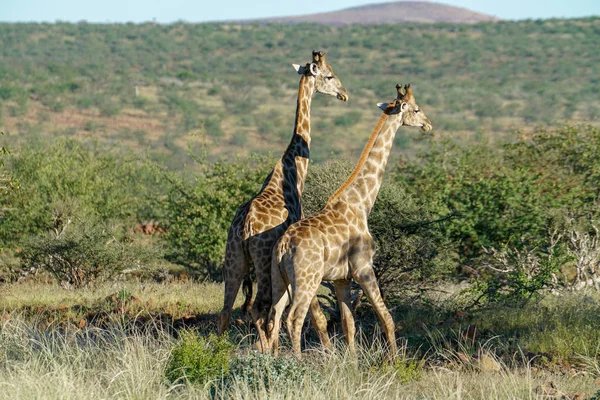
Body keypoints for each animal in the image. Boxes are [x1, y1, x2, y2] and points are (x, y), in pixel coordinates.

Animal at [219, 50, 350, 354]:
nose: (344, 94)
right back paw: (268, 353)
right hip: (262, 259)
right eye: (329, 76)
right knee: (259, 309)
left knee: (227, 310)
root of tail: (246, 226)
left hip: (234, 258)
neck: (291, 170)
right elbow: (309, 313)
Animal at [268, 82, 432, 356]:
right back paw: (297, 363)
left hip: (279, 279)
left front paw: (352, 362)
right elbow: (387, 319)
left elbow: (348, 325)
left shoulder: (341, 279)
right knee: (294, 319)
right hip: (307, 279)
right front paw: (395, 360)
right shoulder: (363, 268)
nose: (428, 124)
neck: (361, 203)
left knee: (272, 318)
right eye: (417, 109)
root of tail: (283, 246)